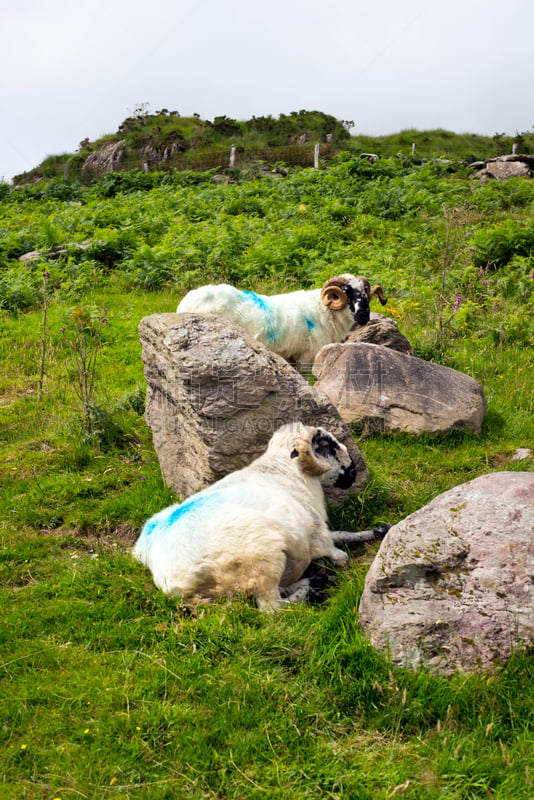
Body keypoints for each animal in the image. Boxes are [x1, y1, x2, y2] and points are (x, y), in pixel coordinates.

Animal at [132, 422, 362, 608]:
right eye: (327, 444)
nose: (354, 472)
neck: (287, 472)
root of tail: (170, 581)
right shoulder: (316, 531)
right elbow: (335, 551)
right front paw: (341, 559)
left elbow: (342, 534)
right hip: (262, 560)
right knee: (272, 607)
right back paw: (312, 589)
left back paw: (315, 581)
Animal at [178, 272, 388, 372]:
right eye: (347, 292)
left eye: (365, 292)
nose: (364, 316)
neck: (323, 311)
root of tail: (186, 303)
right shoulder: (306, 357)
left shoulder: (291, 356)